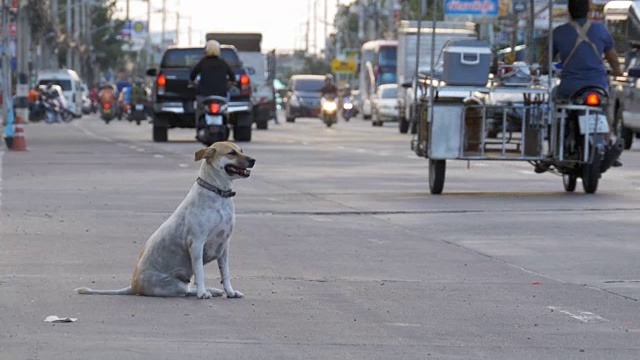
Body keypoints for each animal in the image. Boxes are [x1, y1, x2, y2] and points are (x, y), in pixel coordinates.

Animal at [75, 142, 255, 300]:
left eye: (241, 150)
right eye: (231, 153)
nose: (253, 160)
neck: (218, 193)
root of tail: (133, 287)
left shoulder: (224, 246)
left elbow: (226, 273)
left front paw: (230, 292)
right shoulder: (196, 243)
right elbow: (200, 273)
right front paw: (202, 293)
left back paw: (214, 290)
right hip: (175, 284)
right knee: (185, 291)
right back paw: (206, 291)